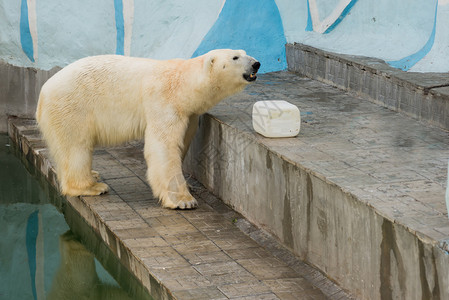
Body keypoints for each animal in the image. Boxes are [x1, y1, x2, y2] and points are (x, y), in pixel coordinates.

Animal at [36, 49, 260, 209]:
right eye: (235, 57)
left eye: (244, 51)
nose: (256, 64)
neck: (183, 82)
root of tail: (43, 92)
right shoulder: (164, 100)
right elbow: (163, 147)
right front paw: (183, 200)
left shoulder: (189, 113)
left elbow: (183, 141)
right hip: (72, 107)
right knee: (76, 147)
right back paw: (92, 186)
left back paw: (94, 174)